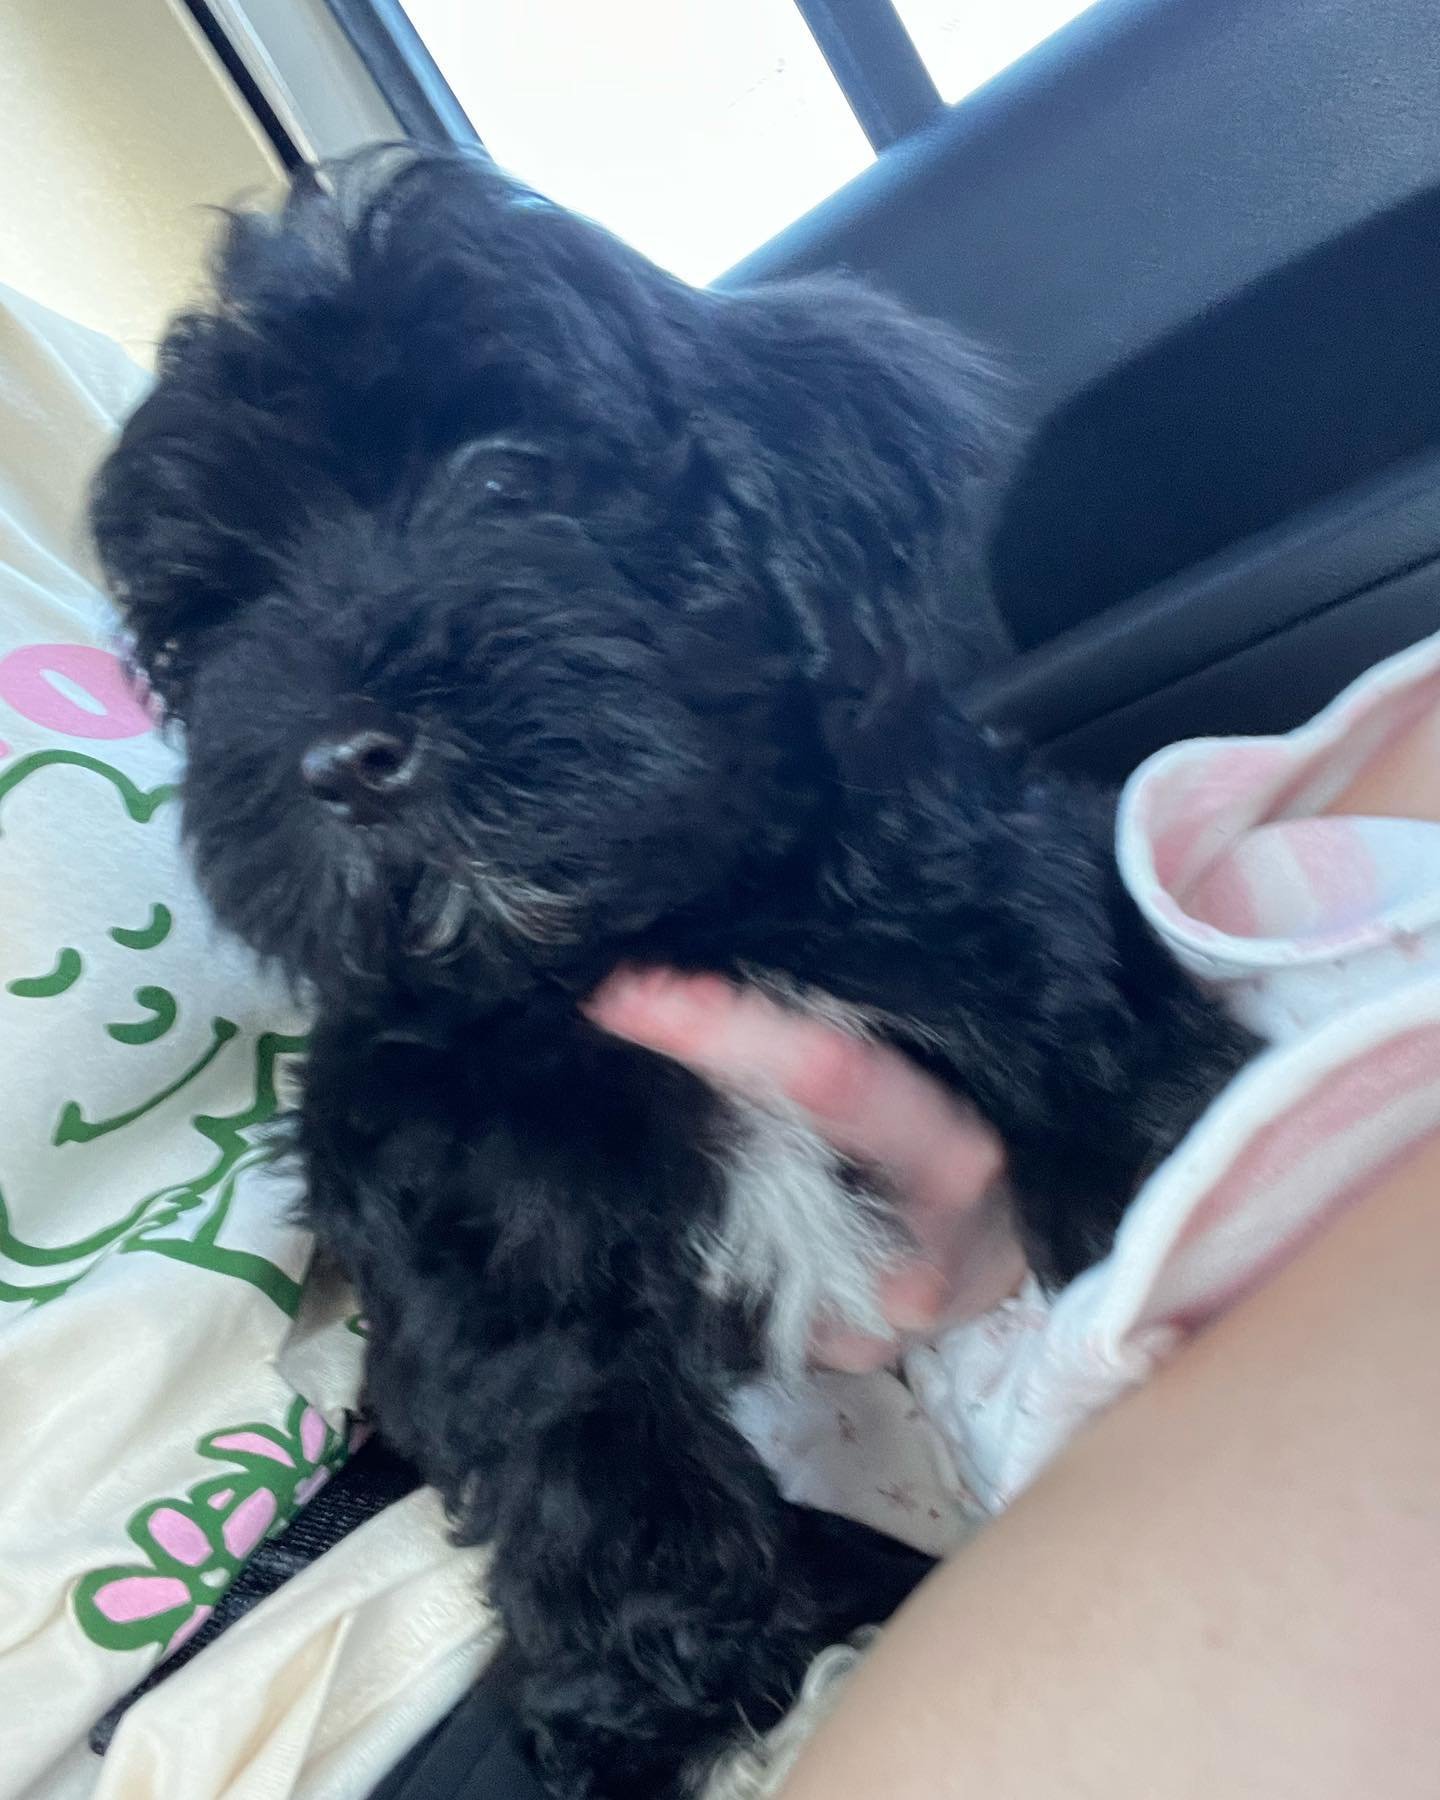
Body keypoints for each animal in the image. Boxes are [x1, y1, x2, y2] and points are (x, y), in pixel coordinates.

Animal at [90, 147, 1253, 1796]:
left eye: (507, 479)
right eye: (225, 609)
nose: (340, 759)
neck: (643, 926)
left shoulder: (1003, 909)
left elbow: (1105, 1050)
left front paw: (1201, 1213)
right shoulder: (467, 1186)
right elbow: (572, 1422)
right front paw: (654, 1691)